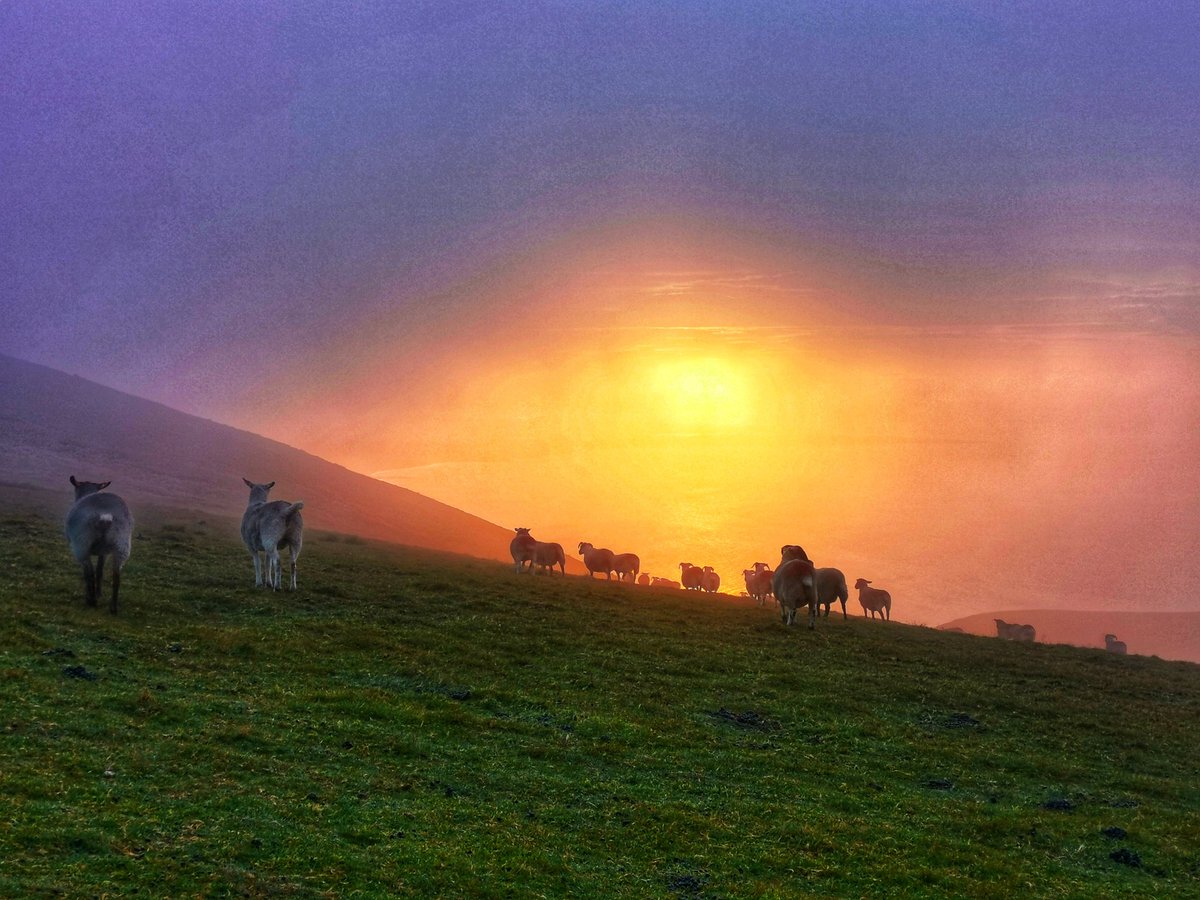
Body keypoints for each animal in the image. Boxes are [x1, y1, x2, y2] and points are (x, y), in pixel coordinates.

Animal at [65, 475, 133, 619]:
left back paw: (91, 600)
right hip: (121, 544)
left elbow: (89, 572)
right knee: (116, 576)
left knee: (89, 572)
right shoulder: (104, 552)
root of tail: (105, 515)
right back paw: (113, 608)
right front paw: (99, 593)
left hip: (82, 544)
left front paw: (94, 595)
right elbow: (100, 571)